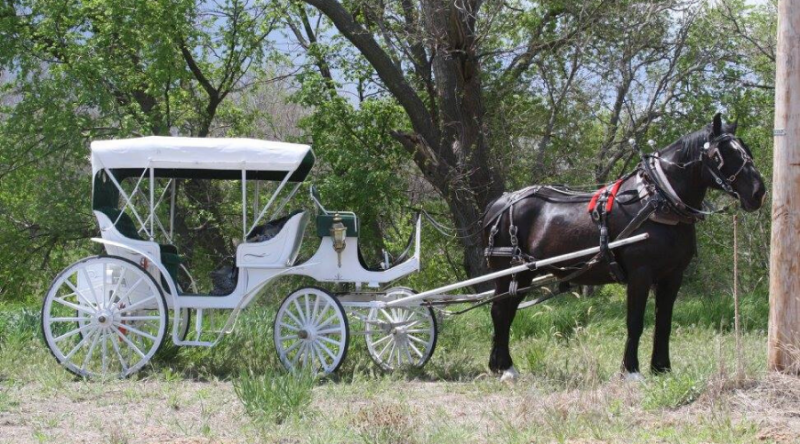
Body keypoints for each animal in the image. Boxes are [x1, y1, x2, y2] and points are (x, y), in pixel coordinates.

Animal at [484, 112, 764, 380]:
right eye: (721, 155)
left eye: (746, 150)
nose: (758, 192)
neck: (658, 201)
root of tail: (499, 204)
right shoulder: (640, 274)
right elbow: (635, 322)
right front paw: (631, 371)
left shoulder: (673, 276)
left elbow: (664, 323)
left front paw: (661, 368)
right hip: (511, 272)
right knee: (500, 312)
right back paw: (506, 368)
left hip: (522, 275)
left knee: (505, 312)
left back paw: (499, 366)